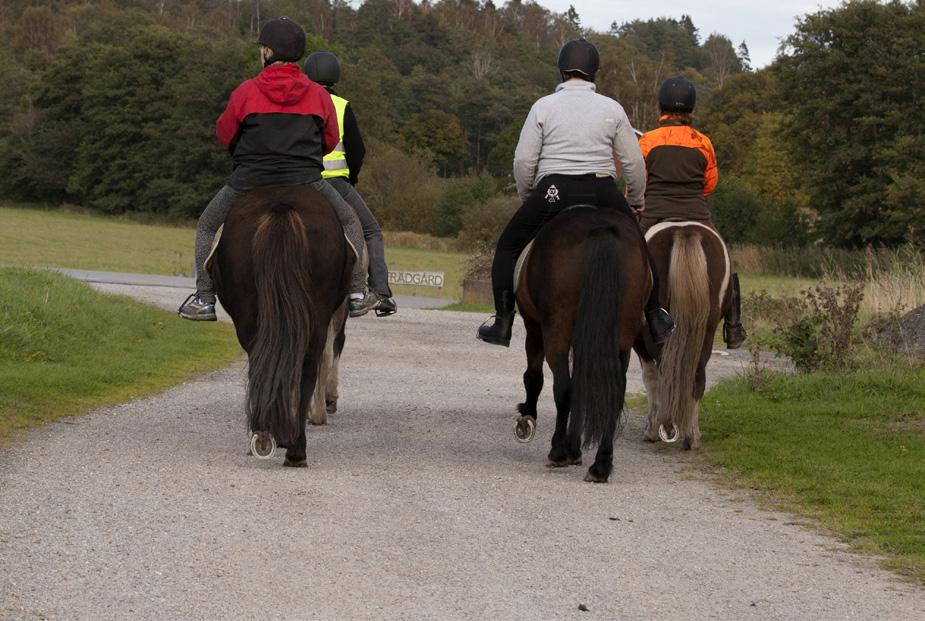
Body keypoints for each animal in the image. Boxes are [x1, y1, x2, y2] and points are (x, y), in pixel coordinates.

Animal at [209, 184, 354, 464]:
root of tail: (282, 206)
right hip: (317, 314)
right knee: (309, 364)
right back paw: (296, 443)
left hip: (252, 317)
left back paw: (272, 436)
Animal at [508, 206, 648, 482]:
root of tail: (601, 229)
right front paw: (576, 448)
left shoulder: (534, 327)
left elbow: (534, 377)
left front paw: (528, 417)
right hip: (620, 340)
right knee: (613, 393)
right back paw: (601, 464)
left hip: (556, 332)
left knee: (563, 388)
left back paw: (558, 451)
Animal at [636, 220, 728, 448]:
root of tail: (684, 230)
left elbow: (650, 378)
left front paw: (651, 430)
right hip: (708, 329)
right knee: (697, 375)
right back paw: (691, 435)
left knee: (663, 375)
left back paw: (665, 428)